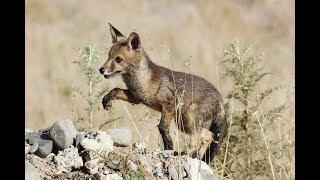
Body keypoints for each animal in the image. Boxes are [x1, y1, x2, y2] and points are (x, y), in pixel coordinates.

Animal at [99, 22, 229, 163]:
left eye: (118, 59)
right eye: (108, 56)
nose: (101, 70)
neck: (144, 80)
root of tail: (220, 99)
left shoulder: (169, 104)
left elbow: (162, 127)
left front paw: (169, 145)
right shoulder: (136, 98)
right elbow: (115, 90)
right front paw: (106, 101)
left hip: (187, 119)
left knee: (199, 139)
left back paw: (183, 154)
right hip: (182, 123)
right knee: (207, 136)